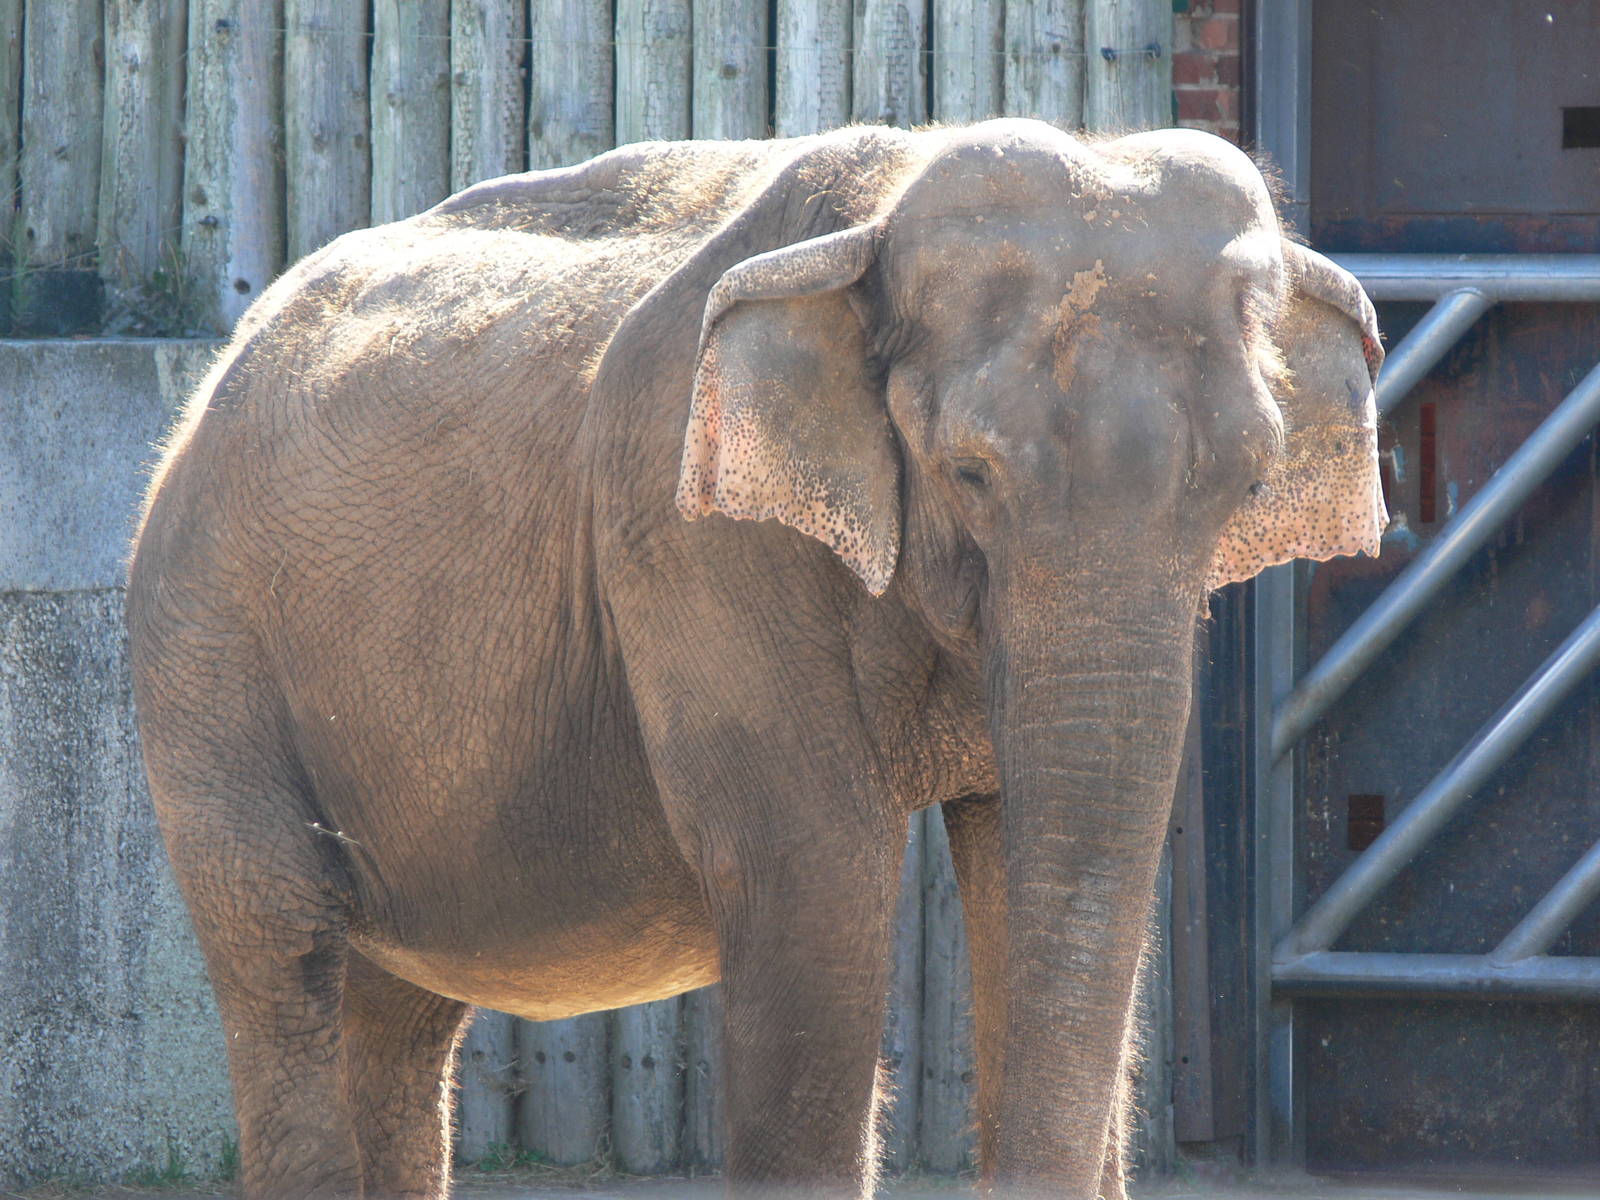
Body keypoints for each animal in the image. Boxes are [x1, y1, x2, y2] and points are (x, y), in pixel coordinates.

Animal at [126, 118, 1384, 1200]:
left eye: (1249, 484)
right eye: (968, 472)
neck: (880, 210)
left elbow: (1020, 859)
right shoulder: (689, 529)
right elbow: (815, 865)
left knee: (392, 1019)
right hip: (205, 650)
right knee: (283, 950)